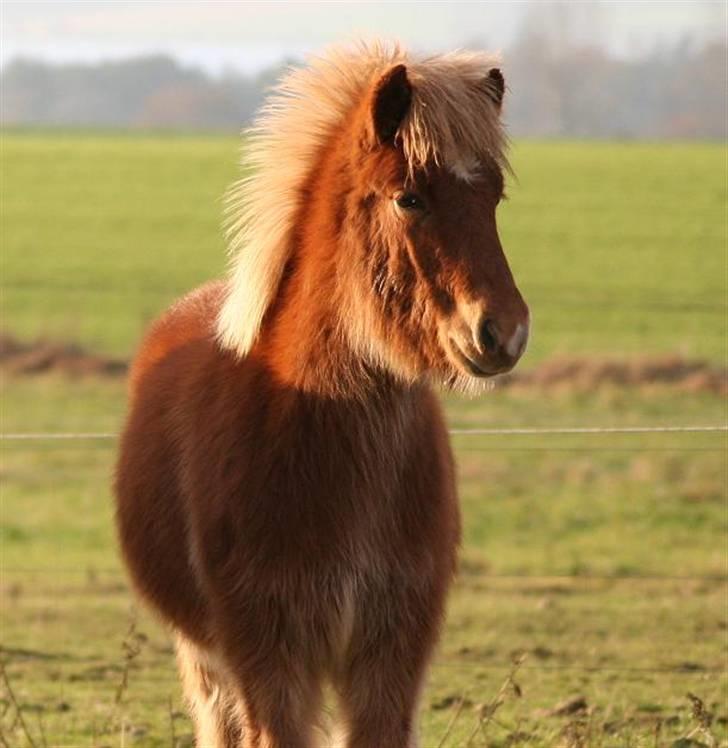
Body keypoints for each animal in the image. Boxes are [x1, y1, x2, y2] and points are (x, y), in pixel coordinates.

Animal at [116, 42, 532, 748]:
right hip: (207, 661)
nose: (502, 332)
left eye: (494, 198)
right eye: (409, 198)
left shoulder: (391, 657)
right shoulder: (271, 659)